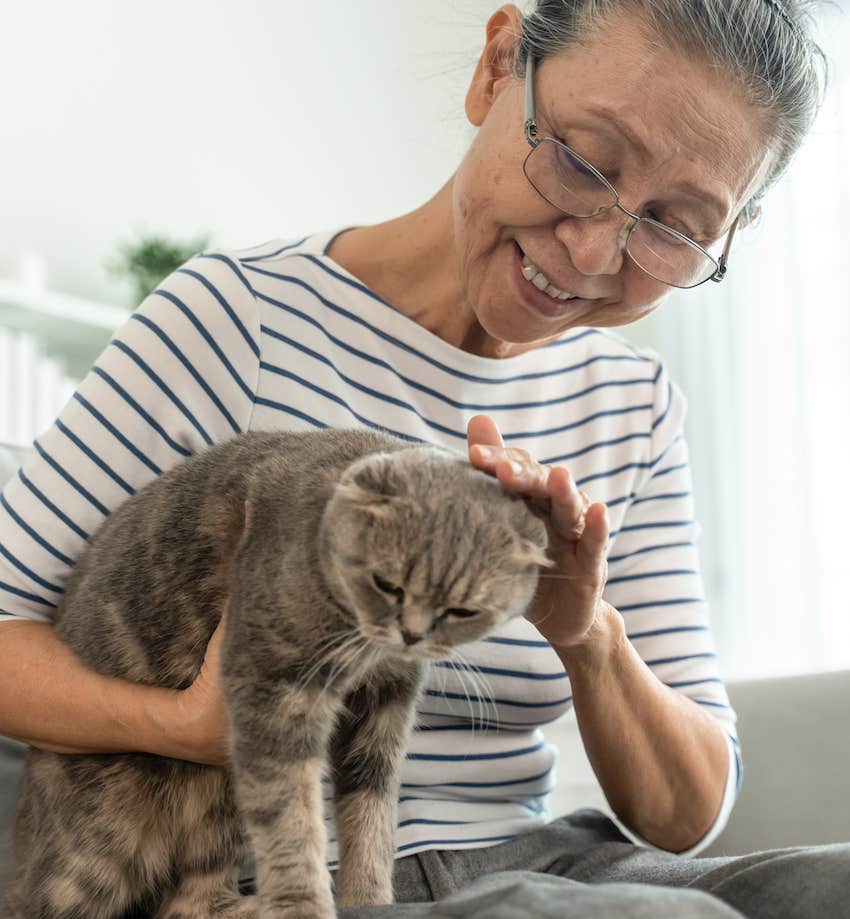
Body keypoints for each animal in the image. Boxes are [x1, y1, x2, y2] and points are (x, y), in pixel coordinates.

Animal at [8, 432, 548, 919]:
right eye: (387, 584)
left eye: (462, 610)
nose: (412, 634)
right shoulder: (275, 691)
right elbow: (292, 822)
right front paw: (303, 907)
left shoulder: (385, 710)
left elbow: (372, 822)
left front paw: (368, 900)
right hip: (97, 851)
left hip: (220, 810)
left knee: (186, 904)